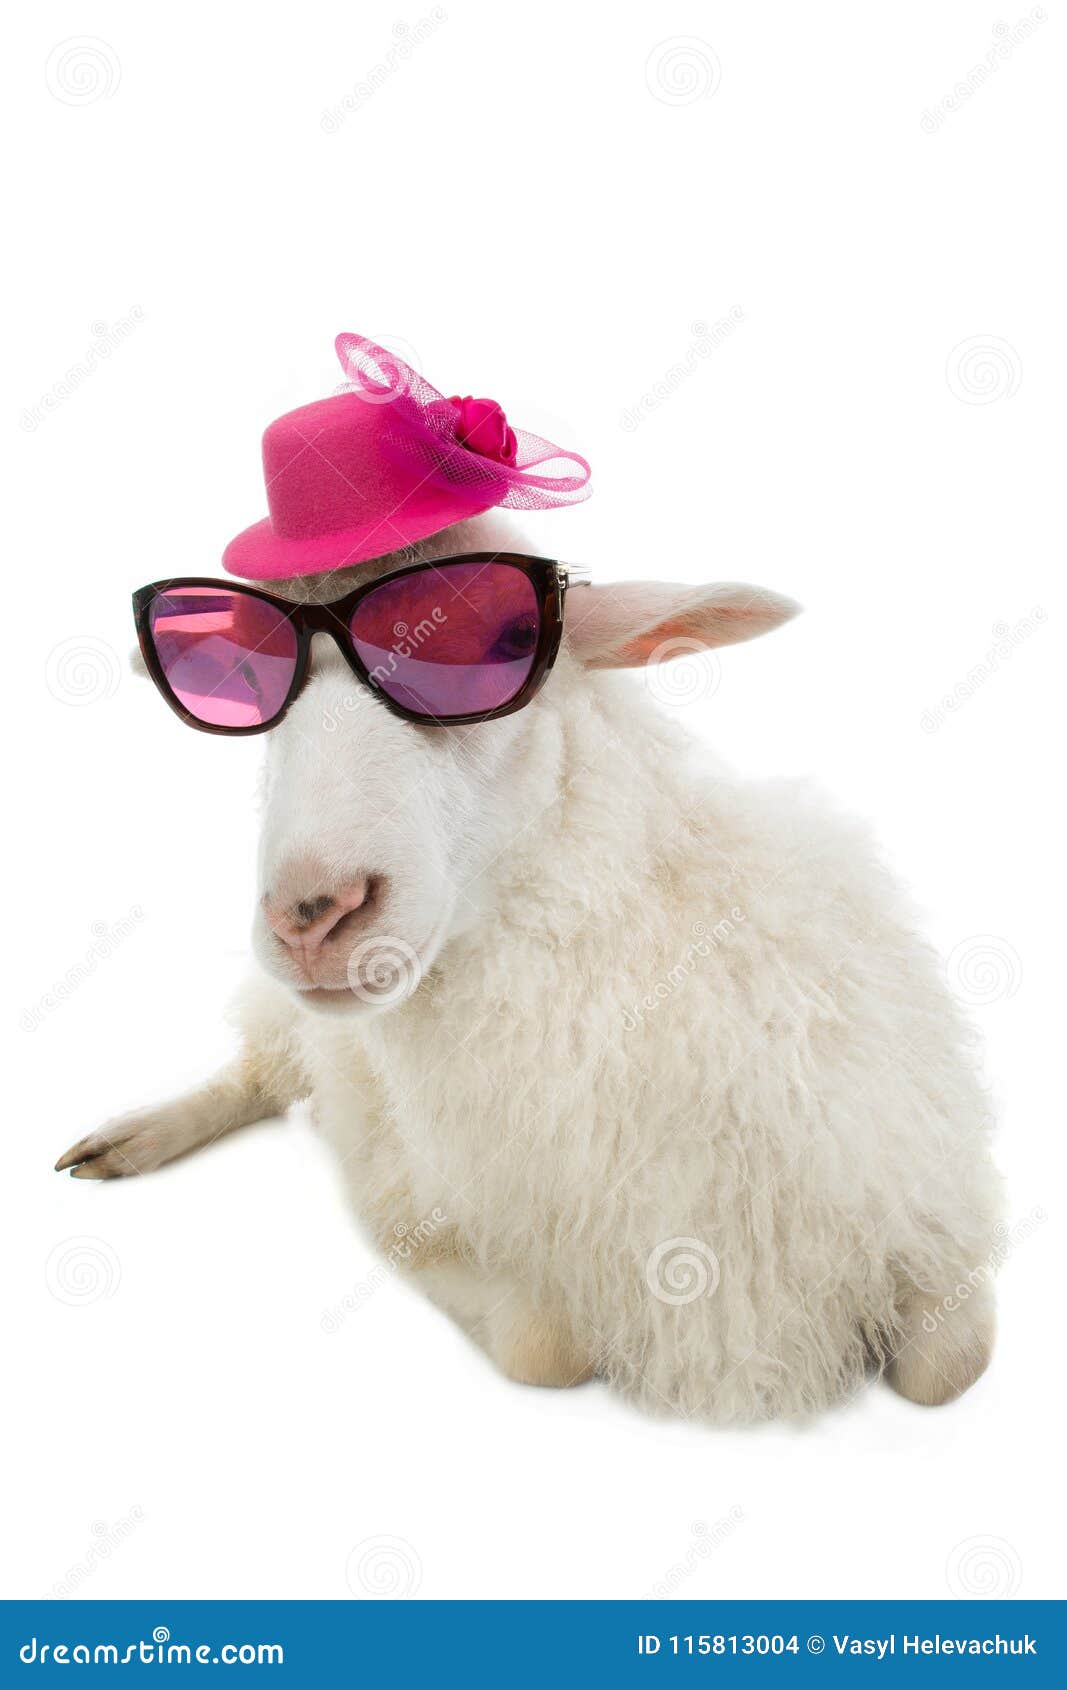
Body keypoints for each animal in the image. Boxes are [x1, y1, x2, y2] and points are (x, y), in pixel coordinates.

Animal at [56, 512, 1000, 1422]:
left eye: (502, 644)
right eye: (249, 683)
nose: (310, 912)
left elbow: (949, 1368)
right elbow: (547, 1347)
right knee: (260, 1065)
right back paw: (131, 1139)